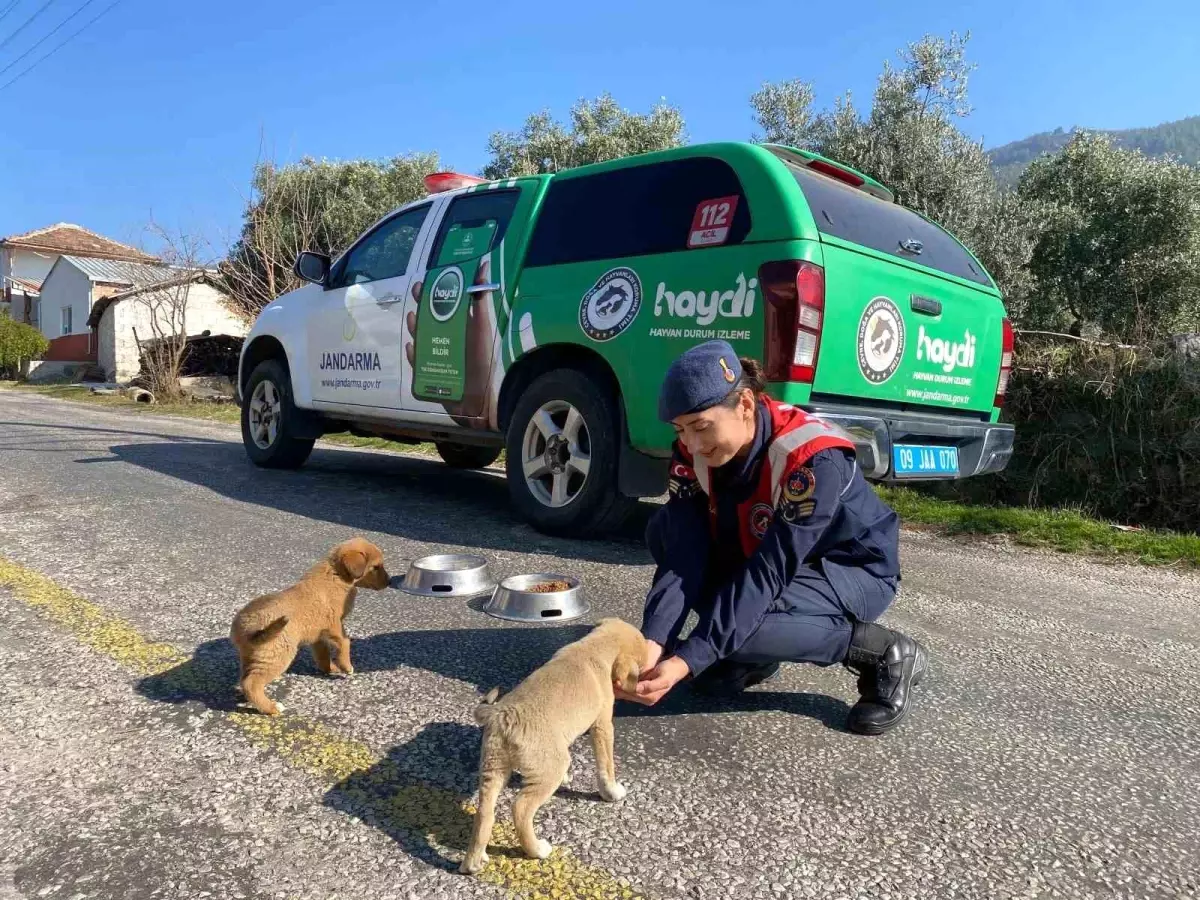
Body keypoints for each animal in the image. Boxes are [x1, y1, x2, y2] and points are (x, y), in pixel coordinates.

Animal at [229, 535, 388, 720]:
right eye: (376, 567)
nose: (390, 581)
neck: (336, 574)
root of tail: (245, 628)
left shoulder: (318, 634)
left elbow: (322, 655)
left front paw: (331, 669)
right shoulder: (335, 625)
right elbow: (345, 643)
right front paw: (346, 667)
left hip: (252, 656)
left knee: (245, 679)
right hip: (278, 654)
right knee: (251, 683)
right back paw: (272, 707)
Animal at [458, 619, 648, 878]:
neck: (592, 648)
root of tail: (500, 715)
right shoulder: (602, 726)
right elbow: (606, 766)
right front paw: (612, 792)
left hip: (493, 769)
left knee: (484, 813)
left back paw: (474, 862)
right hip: (548, 771)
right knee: (520, 808)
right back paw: (537, 849)